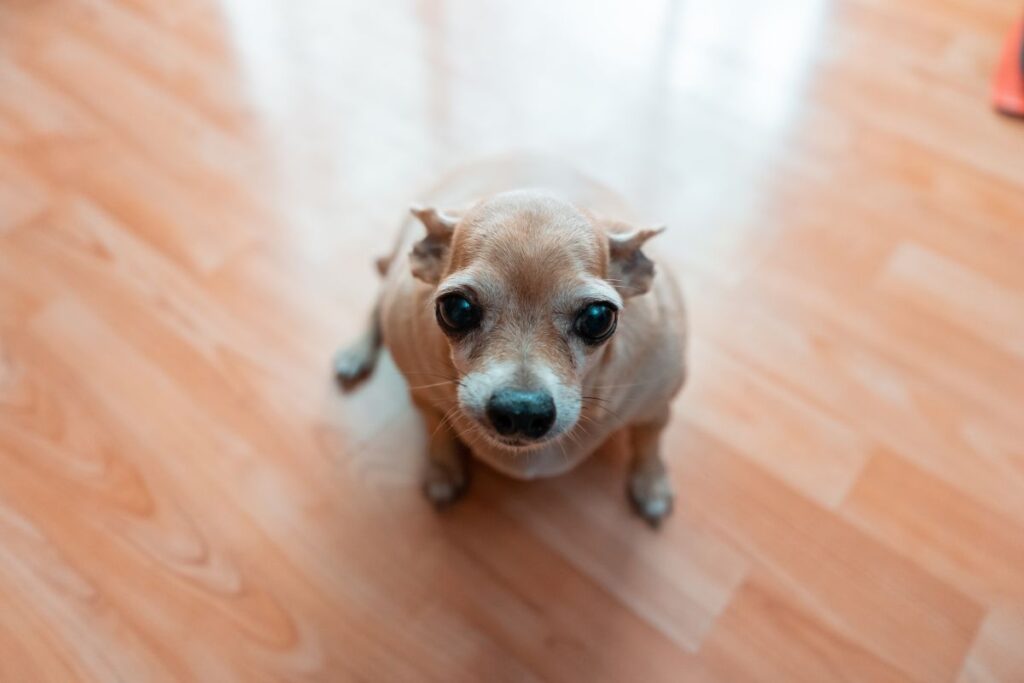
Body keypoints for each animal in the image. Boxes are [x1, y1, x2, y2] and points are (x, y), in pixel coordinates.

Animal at [335, 157, 688, 528]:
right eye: (456, 309)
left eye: (598, 318)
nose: (522, 411)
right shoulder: (423, 395)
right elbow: (437, 428)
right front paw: (443, 470)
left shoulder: (656, 407)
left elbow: (649, 443)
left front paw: (651, 484)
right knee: (375, 305)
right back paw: (356, 353)